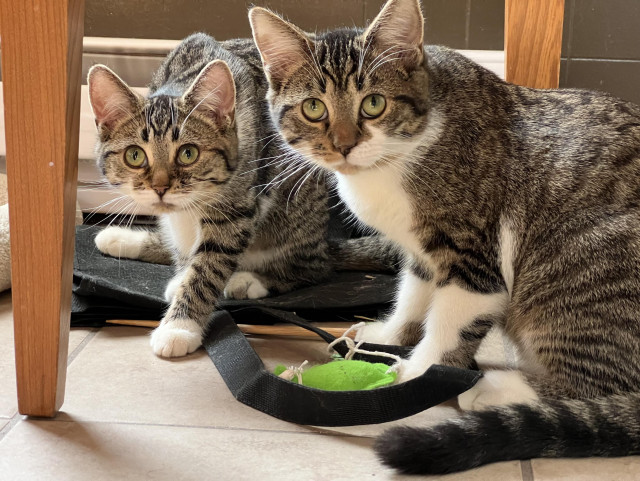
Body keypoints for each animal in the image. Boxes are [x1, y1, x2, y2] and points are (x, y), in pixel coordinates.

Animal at [88, 32, 392, 356]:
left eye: (188, 153)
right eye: (134, 156)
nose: (160, 187)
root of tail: (322, 241)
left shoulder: (236, 209)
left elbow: (210, 263)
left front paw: (180, 325)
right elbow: (187, 243)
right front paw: (182, 276)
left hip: (298, 209)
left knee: (315, 266)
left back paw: (251, 280)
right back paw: (122, 239)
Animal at [250, 0, 640, 472]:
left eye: (374, 104)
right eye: (313, 108)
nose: (344, 145)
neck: (399, 156)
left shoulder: (475, 256)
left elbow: (451, 322)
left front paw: (419, 373)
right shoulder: (421, 250)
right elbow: (414, 293)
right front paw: (389, 336)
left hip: (580, 255)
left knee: (602, 385)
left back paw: (499, 389)